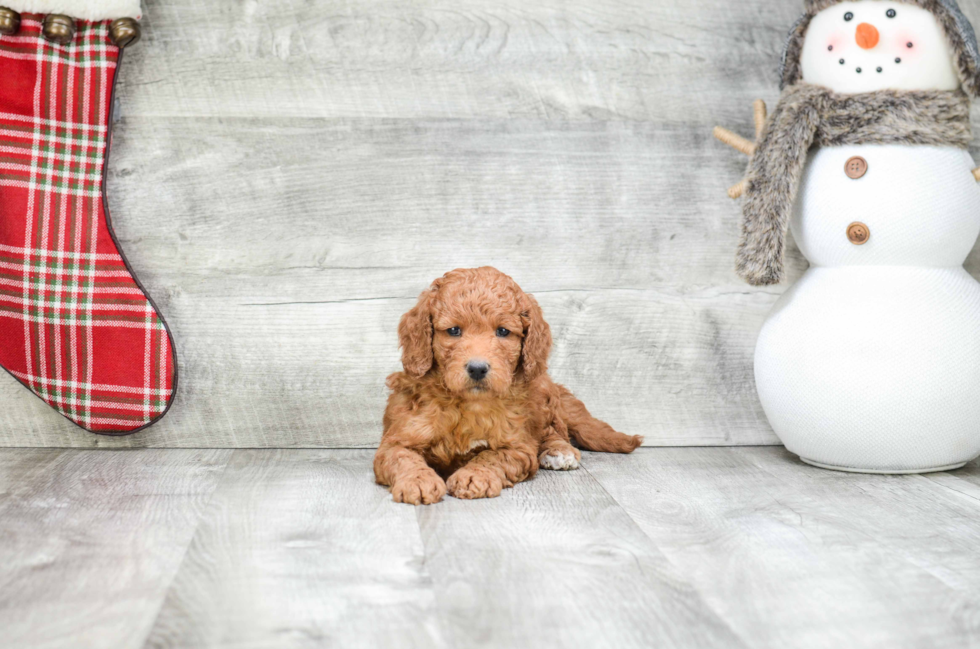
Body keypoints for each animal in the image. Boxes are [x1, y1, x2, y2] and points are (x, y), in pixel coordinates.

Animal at [372, 266, 640, 504]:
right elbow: (403, 458)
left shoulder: (517, 447)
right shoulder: (397, 440)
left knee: (555, 430)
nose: (477, 368)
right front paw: (418, 482)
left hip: (542, 392)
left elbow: (492, 456)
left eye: (502, 331)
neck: (469, 403)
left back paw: (559, 451)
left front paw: (473, 477)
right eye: (454, 330)